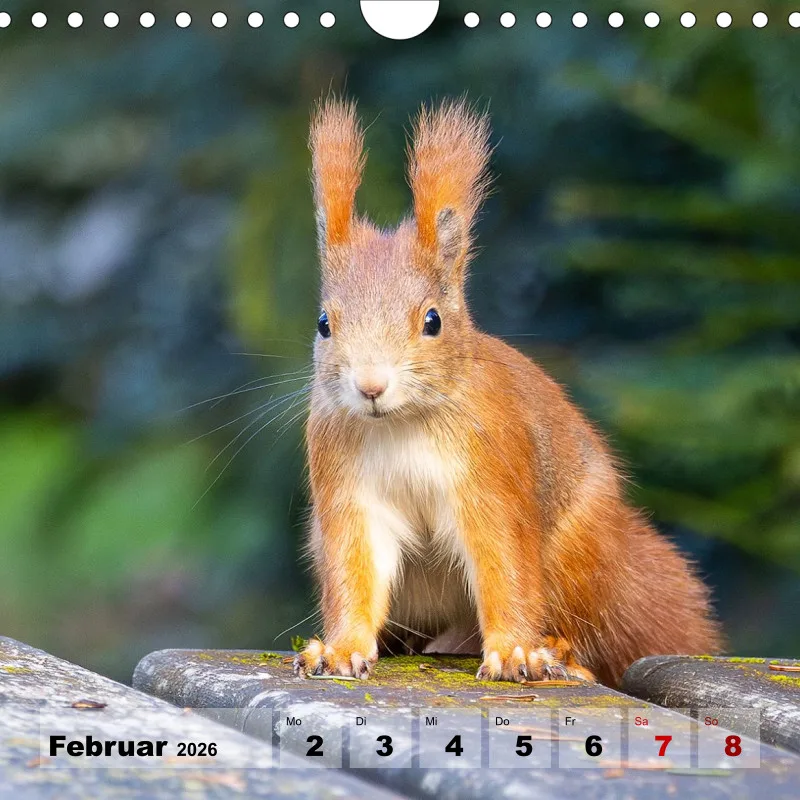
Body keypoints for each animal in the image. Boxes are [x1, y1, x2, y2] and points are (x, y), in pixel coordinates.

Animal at [293, 98, 723, 686]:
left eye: (432, 321)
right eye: (323, 324)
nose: (371, 385)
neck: (405, 422)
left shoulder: (493, 471)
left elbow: (504, 561)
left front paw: (515, 651)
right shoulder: (345, 482)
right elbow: (355, 567)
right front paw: (340, 648)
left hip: (576, 558)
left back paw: (559, 651)